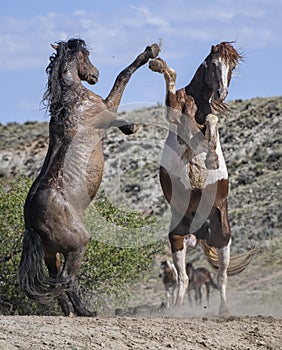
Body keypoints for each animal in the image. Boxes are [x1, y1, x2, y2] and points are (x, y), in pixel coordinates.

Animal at [18, 38, 161, 318]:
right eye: (86, 55)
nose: (95, 75)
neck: (72, 101)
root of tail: (32, 224)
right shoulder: (106, 108)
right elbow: (123, 77)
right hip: (78, 246)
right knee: (67, 279)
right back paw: (86, 311)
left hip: (52, 254)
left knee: (57, 281)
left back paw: (71, 312)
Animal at [149, 42, 256, 316]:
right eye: (214, 63)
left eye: (232, 66)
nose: (222, 92)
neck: (195, 101)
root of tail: (201, 232)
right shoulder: (174, 112)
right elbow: (171, 80)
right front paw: (157, 64)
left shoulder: (206, 119)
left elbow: (212, 120)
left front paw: (212, 159)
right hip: (178, 238)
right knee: (183, 279)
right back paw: (177, 309)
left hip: (223, 239)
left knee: (221, 277)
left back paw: (224, 311)